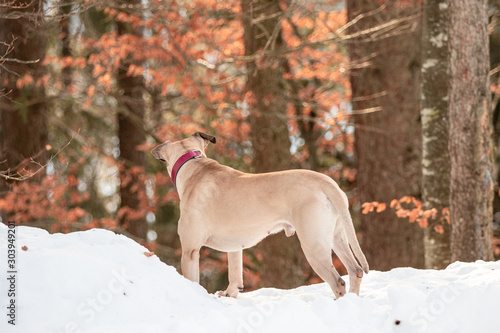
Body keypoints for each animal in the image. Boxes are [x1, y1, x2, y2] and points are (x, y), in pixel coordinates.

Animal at [150, 132, 370, 298]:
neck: (194, 166)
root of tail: (327, 183)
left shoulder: (190, 250)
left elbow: (192, 278)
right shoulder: (234, 247)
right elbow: (235, 273)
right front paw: (229, 294)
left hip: (313, 244)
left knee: (337, 281)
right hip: (337, 235)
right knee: (355, 270)